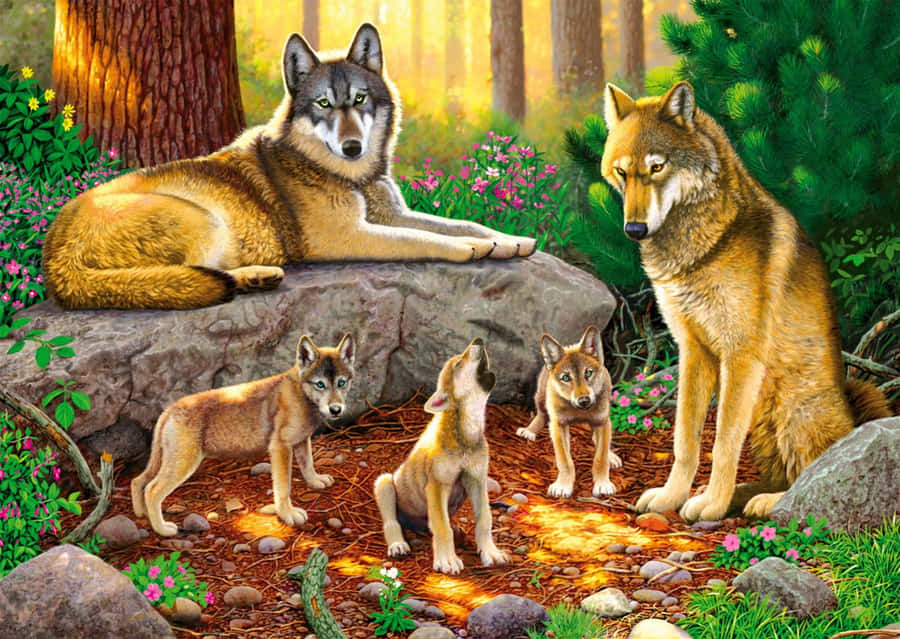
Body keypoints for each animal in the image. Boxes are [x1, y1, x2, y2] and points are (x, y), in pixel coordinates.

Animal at [42, 23, 536, 311]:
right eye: (323, 104)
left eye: (359, 99)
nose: (353, 147)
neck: (351, 178)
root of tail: (53, 256)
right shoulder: (347, 237)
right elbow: (425, 239)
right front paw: (472, 250)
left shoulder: (392, 214)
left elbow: (460, 223)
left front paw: (507, 241)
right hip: (201, 219)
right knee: (186, 278)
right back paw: (250, 277)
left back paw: (256, 277)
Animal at [131, 333, 354, 537]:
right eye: (320, 384)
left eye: (341, 383)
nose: (336, 409)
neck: (301, 393)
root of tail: (169, 410)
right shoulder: (280, 447)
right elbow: (283, 487)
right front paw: (287, 514)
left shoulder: (301, 441)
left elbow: (308, 465)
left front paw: (316, 481)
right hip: (182, 463)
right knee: (151, 490)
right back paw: (162, 530)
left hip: (167, 461)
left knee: (138, 481)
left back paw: (142, 516)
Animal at [373, 338, 510, 574]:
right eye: (458, 365)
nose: (479, 340)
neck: (466, 436)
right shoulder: (437, 485)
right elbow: (442, 526)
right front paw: (447, 560)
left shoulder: (477, 480)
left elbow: (485, 519)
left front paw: (491, 552)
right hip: (385, 484)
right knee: (392, 522)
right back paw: (398, 544)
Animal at [515, 326, 621, 499]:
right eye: (566, 378)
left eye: (588, 373)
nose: (583, 400)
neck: (580, 412)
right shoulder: (558, 425)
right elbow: (565, 460)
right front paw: (563, 486)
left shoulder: (601, 422)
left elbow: (600, 457)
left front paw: (602, 484)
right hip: (541, 398)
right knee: (541, 415)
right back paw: (529, 431)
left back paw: (612, 456)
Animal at [601, 81, 892, 521]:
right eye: (622, 171)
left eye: (657, 167)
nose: (634, 229)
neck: (701, 247)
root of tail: (852, 420)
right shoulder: (694, 350)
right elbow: (686, 440)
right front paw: (673, 497)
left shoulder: (740, 355)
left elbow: (722, 444)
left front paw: (711, 505)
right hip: (762, 423)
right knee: (778, 475)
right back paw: (744, 496)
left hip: (793, 411)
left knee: (808, 478)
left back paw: (763, 502)